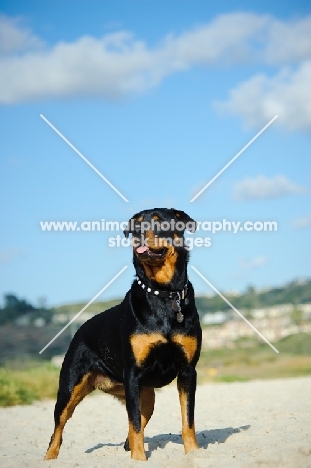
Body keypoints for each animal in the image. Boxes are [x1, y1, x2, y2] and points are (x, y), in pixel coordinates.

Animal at [44, 207, 202, 460]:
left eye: (160, 223)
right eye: (135, 224)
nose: (137, 232)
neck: (164, 293)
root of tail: (80, 329)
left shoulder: (188, 371)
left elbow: (187, 419)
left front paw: (194, 453)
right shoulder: (133, 374)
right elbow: (135, 423)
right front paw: (139, 460)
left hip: (144, 394)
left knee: (136, 422)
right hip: (71, 386)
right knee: (58, 427)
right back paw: (49, 458)